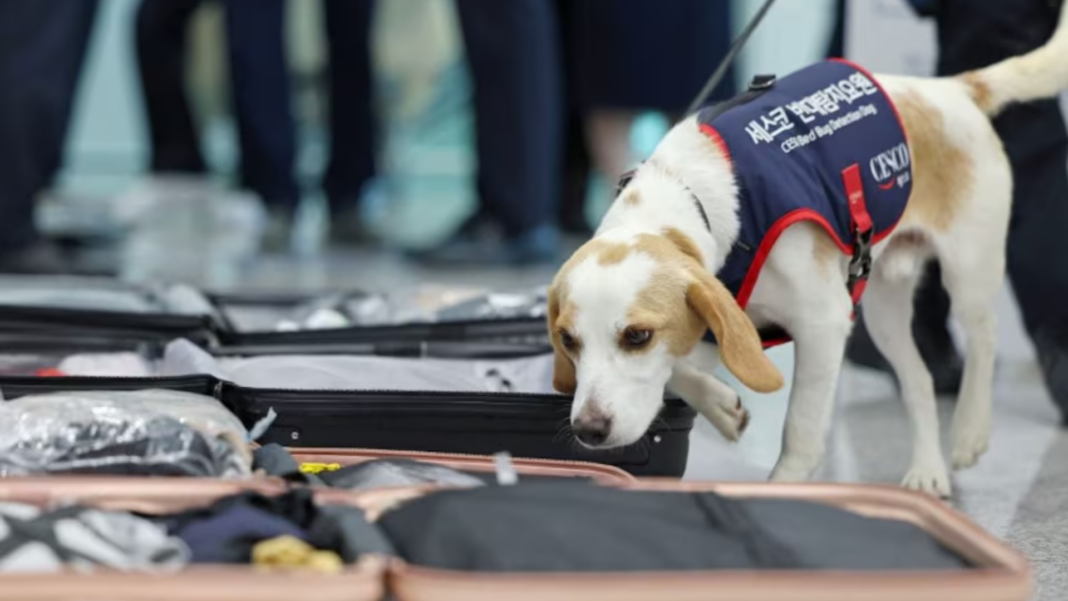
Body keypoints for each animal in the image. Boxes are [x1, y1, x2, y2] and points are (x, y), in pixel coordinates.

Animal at [546, 3, 1068, 499]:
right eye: (567, 340)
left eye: (637, 336)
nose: (588, 431)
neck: (692, 194)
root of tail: (949, 90)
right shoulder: (717, 323)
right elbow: (679, 372)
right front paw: (722, 406)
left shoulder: (823, 323)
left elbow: (800, 428)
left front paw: (786, 486)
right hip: (882, 307)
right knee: (919, 381)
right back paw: (927, 471)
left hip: (968, 269)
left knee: (984, 336)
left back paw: (969, 433)